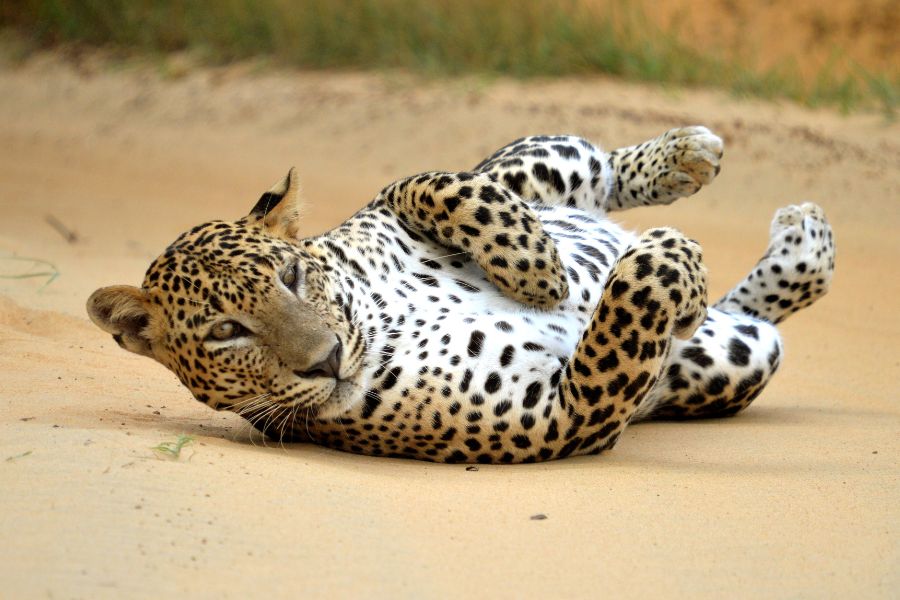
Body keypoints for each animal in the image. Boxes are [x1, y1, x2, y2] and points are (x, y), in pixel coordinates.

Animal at [88, 126, 832, 464]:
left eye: (292, 277)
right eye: (225, 333)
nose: (326, 359)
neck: (382, 319)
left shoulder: (393, 204)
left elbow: (427, 182)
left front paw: (541, 274)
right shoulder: (567, 416)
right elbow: (629, 306)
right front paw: (663, 257)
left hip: (538, 166)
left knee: (576, 166)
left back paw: (687, 159)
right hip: (734, 357)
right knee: (745, 315)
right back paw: (794, 247)